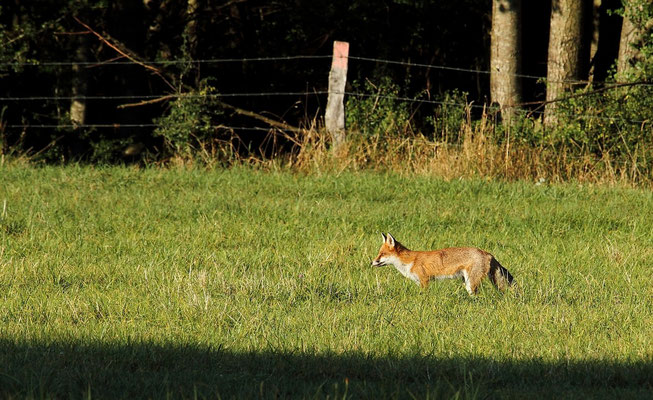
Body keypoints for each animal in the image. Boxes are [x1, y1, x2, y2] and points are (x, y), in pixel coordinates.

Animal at [372, 233, 516, 296]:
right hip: (467, 281)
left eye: (382, 254)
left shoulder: (424, 280)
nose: (372, 262)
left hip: (471, 283)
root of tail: (487, 253)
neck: (409, 262)